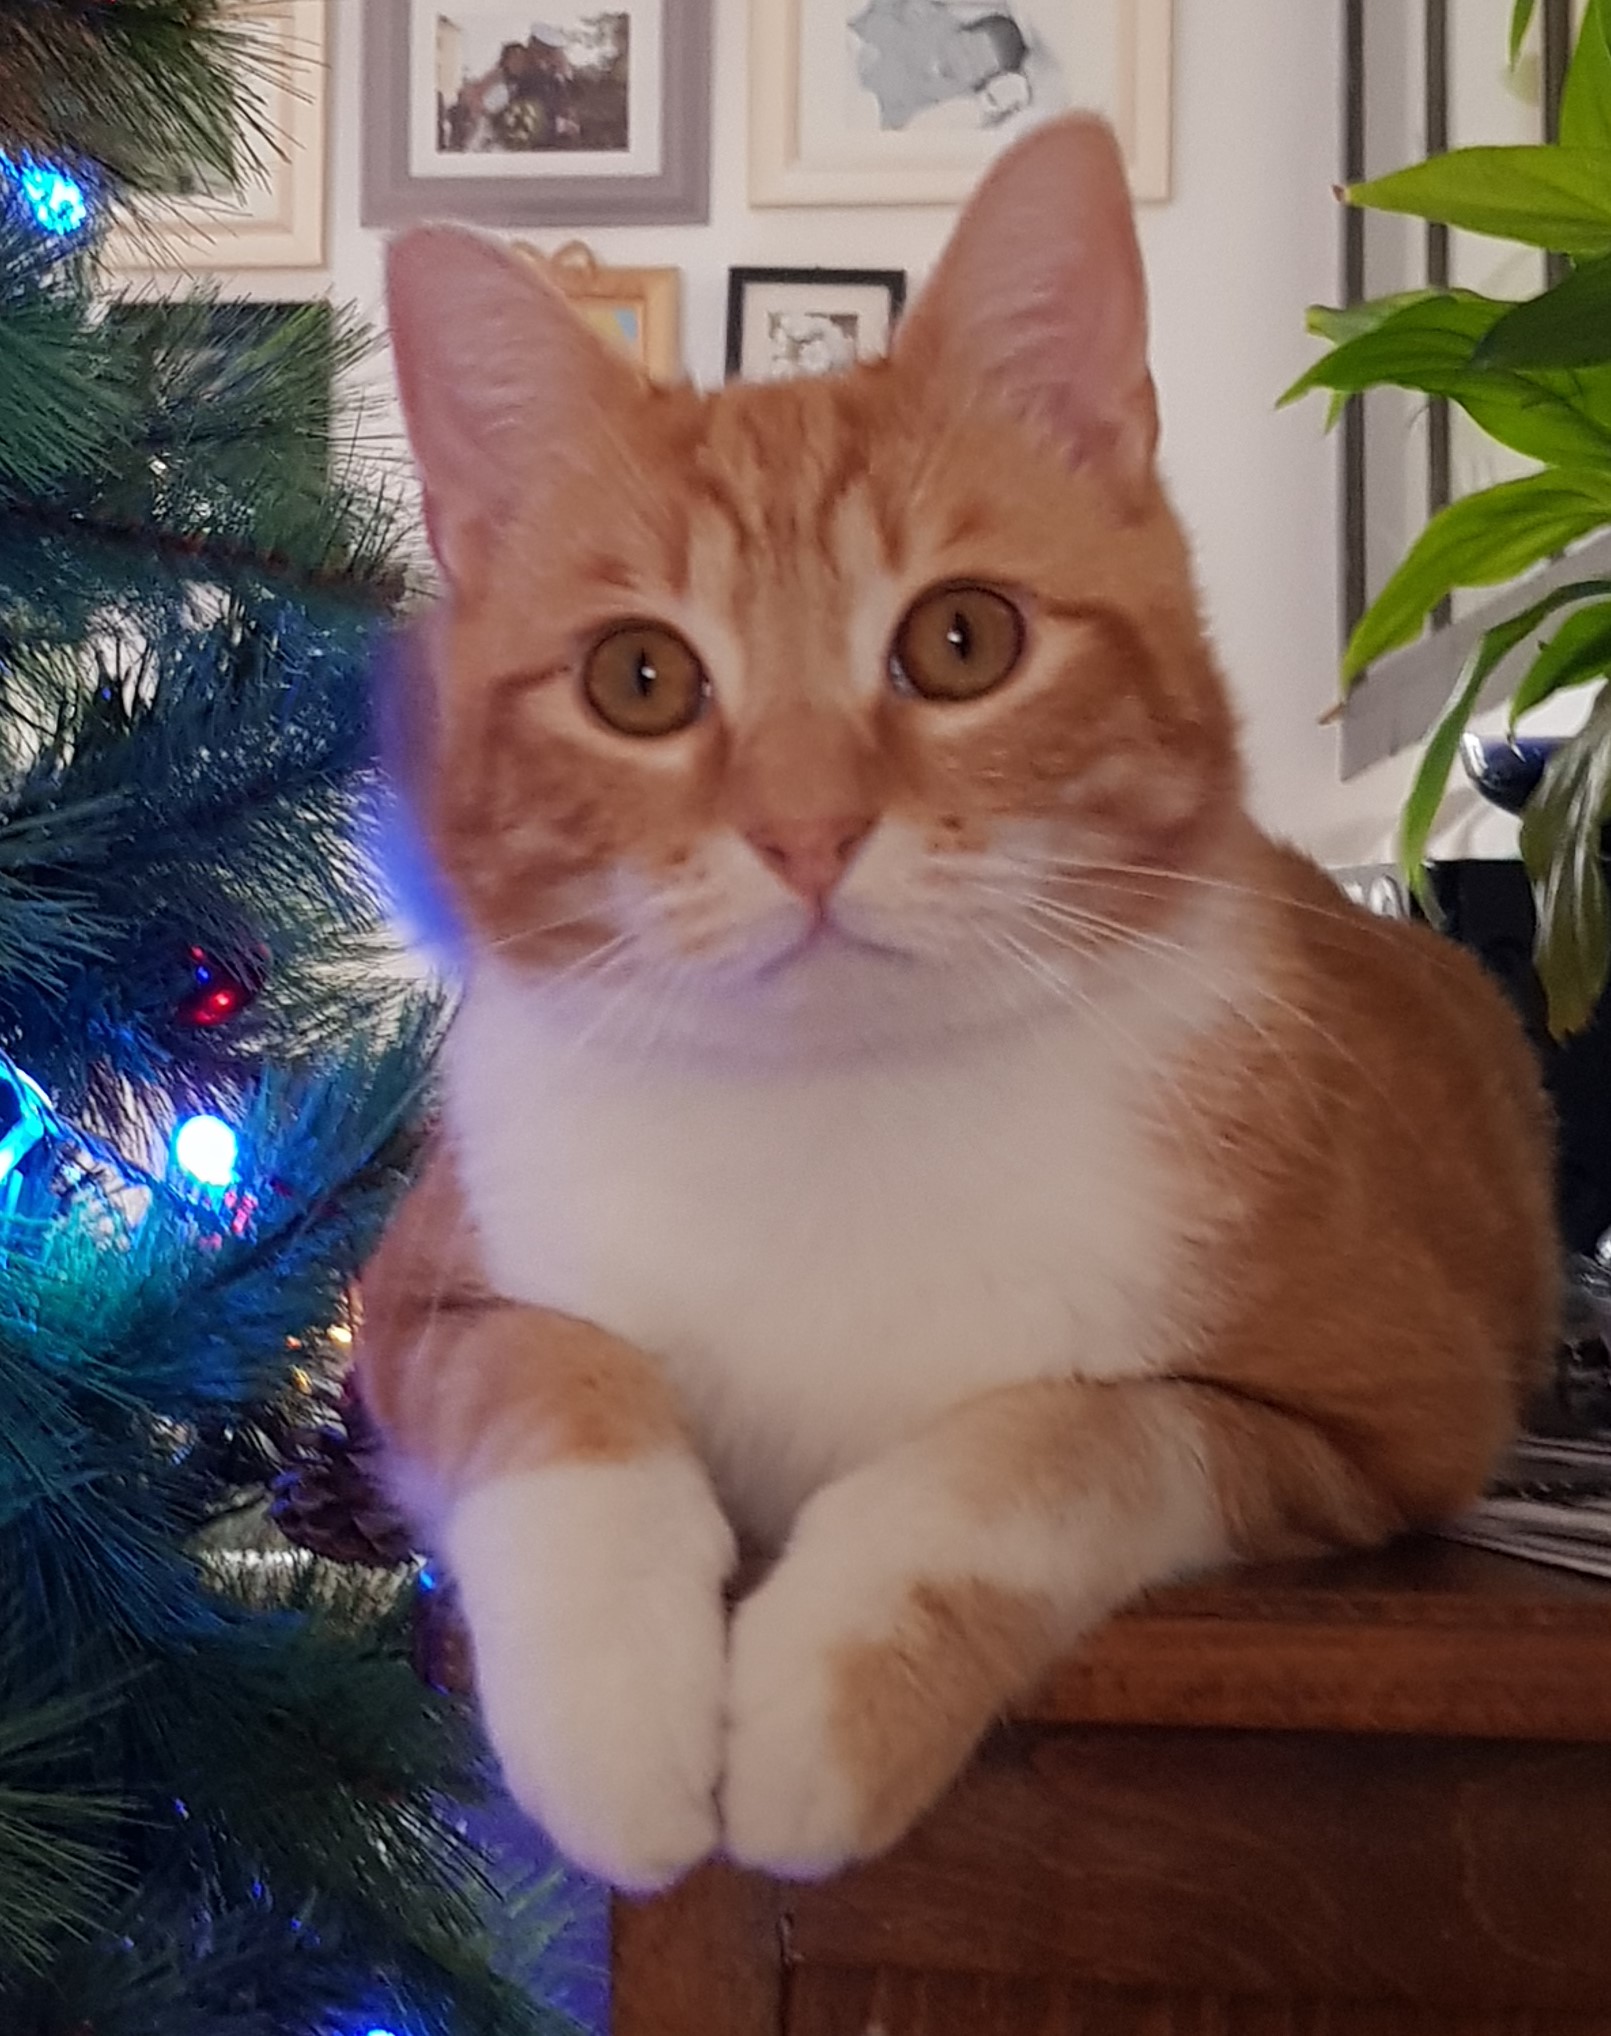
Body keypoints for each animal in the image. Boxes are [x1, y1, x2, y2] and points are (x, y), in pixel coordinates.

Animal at [362, 115, 1559, 1894]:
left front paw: (821, 1709)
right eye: (637, 679)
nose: (804, 832)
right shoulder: (415, 1304)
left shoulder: (1383, 1417)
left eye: (959, 639)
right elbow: (553, 1377)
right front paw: (612, 1712)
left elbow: (1059, 1440)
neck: (836, 1107)